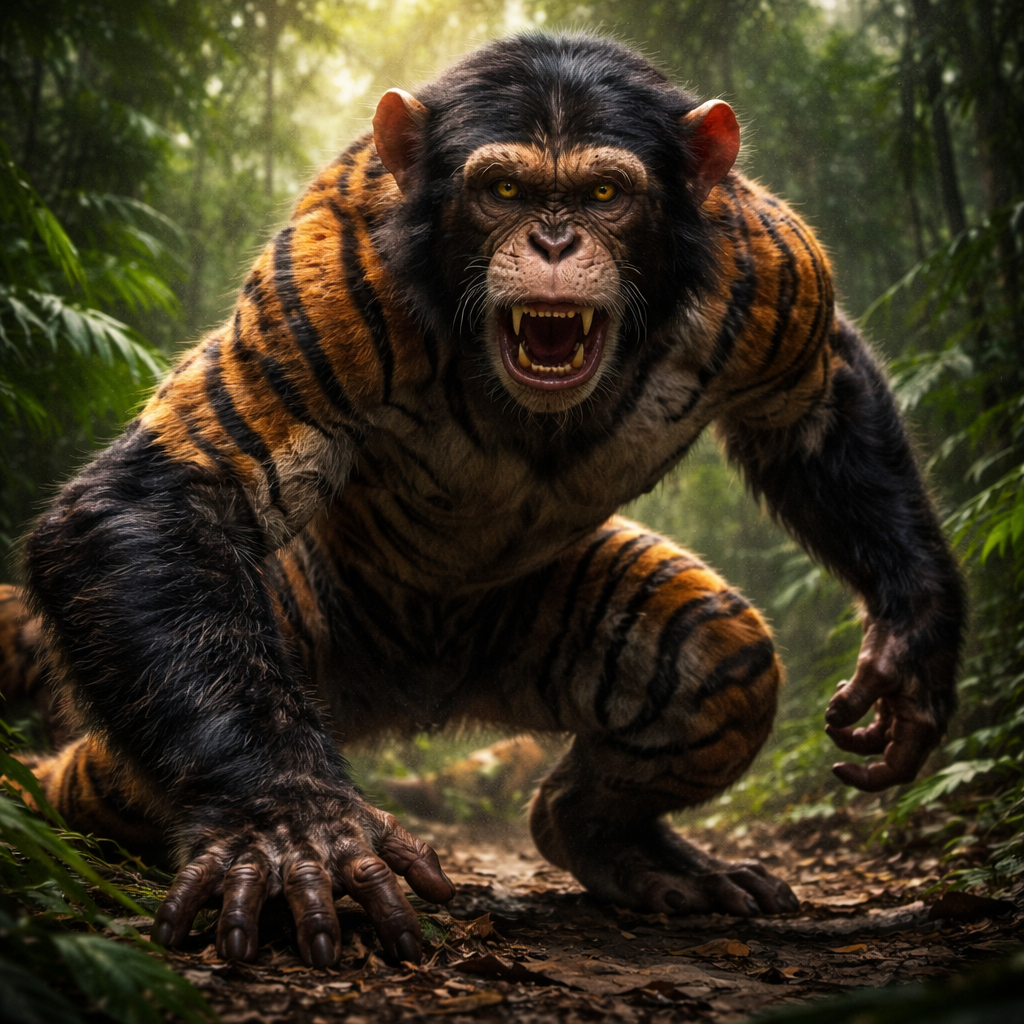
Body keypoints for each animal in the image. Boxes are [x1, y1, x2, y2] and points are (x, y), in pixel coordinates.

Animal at [14, 33, 963, 969]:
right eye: (503, 190)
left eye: (605, 193)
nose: (553, 240)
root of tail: (409, 687)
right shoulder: (326, 291)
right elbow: (172, 493)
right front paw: (296, 828)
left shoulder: (769, 271)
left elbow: (815, 405)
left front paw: (912, 642)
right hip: (290, 622)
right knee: (111, 775)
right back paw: (32, 797)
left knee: (719, 661)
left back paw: (623, 845)